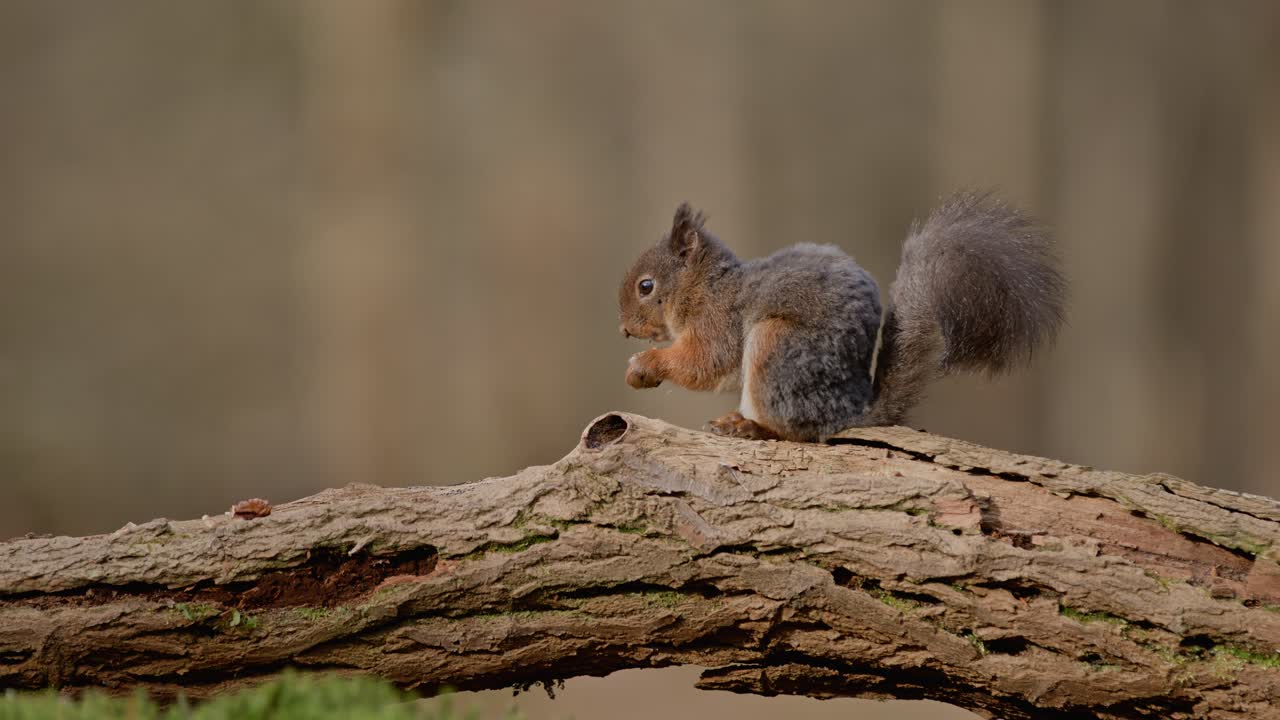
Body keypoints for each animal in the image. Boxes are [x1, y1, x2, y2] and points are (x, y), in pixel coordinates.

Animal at [617, 191, 1066, 442]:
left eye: (646, 286)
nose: (623, 330)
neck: (705, 289)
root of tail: (848, 411)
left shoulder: (720, 323)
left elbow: (704, 363)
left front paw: (645, 364)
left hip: (775, 346)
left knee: (799, 432)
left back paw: (750, 427)